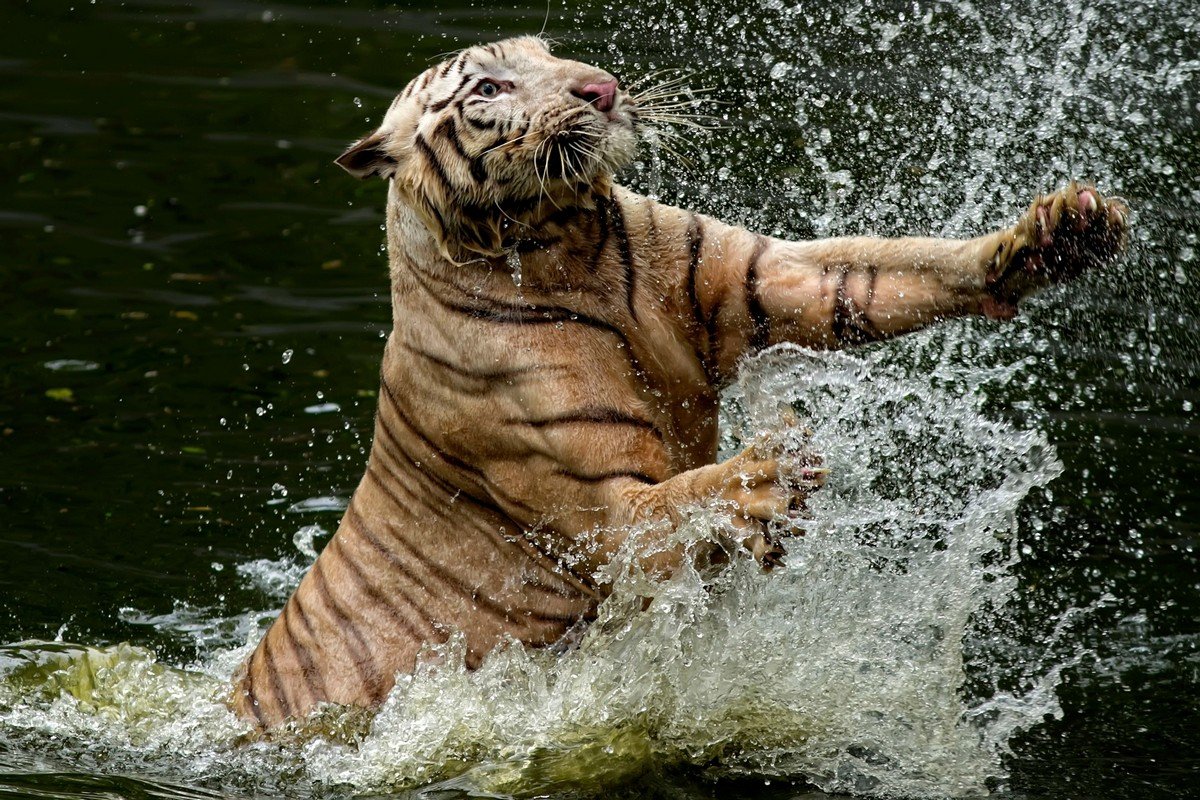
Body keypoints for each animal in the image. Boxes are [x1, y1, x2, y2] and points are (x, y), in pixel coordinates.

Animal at [230, 35, 1128, 728]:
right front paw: (766, 474)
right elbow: (676, 501)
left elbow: (898, 265)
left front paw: (1059, 230)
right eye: (489, 86)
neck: (571, 242)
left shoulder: (774, 278)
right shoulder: (598, 518)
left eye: (547, 52)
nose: (601, 88)